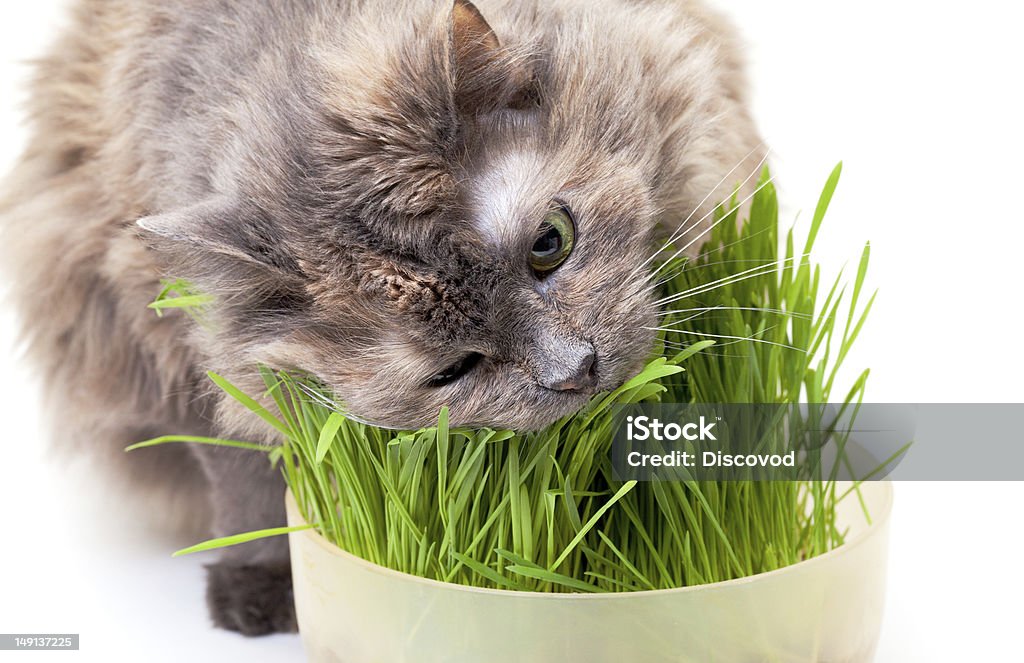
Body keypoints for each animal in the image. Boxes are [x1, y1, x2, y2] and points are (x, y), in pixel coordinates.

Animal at [0, 0, 761, 639]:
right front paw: (258, 591)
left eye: (551, 242)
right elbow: (246, 482)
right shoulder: (188, 358)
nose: (575, 370)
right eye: (454, 369)